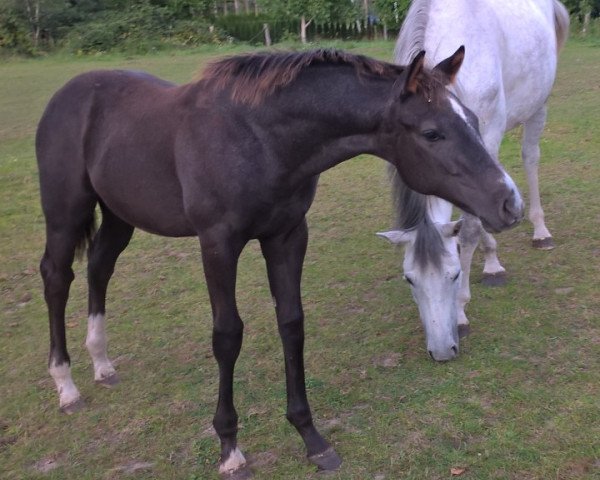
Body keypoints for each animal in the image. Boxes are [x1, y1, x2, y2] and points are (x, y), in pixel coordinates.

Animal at [378, 0, 568, 360]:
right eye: (409, 279)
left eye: (453, 275)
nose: (441, 350)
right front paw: (491, 258)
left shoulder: (487, 132)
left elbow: (468, 231)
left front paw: (462, 313)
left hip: (540, 106)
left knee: (530, 158)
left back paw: (541, 232)